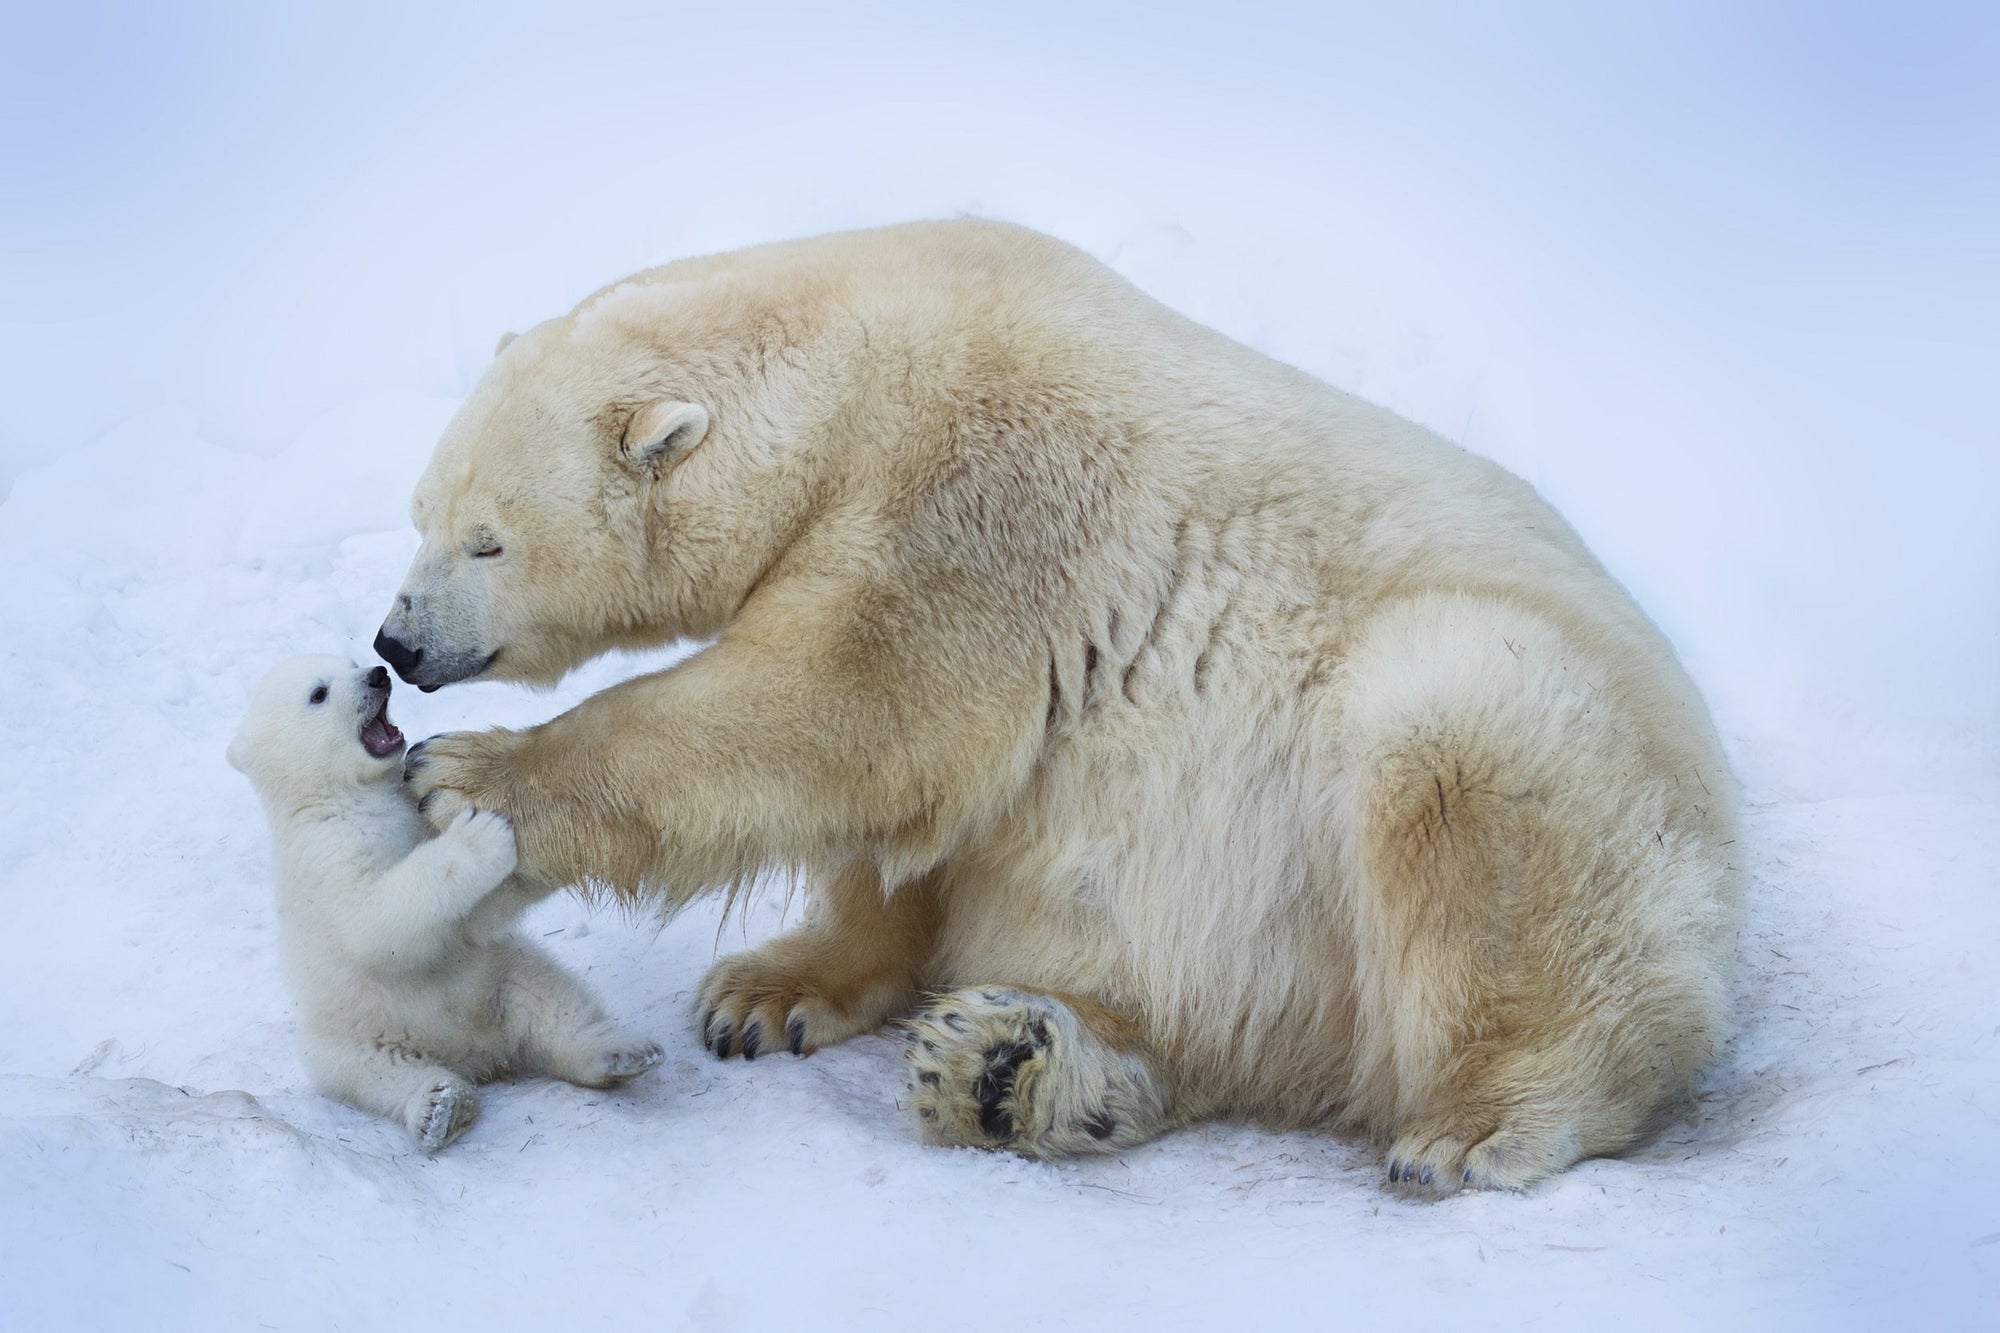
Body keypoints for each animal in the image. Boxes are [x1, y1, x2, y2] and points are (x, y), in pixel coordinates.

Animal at [382, 218, 1744, 1192]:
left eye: (489, 540)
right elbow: (913, 814)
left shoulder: (985, 492)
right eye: (421, 513)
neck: (863, 366)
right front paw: (767, 994)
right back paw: (1009, 1069)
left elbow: (842, 708)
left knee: (1469, 773)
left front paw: (466, 779)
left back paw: (1478, 1120)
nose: (397, 642)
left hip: (1548, 761)